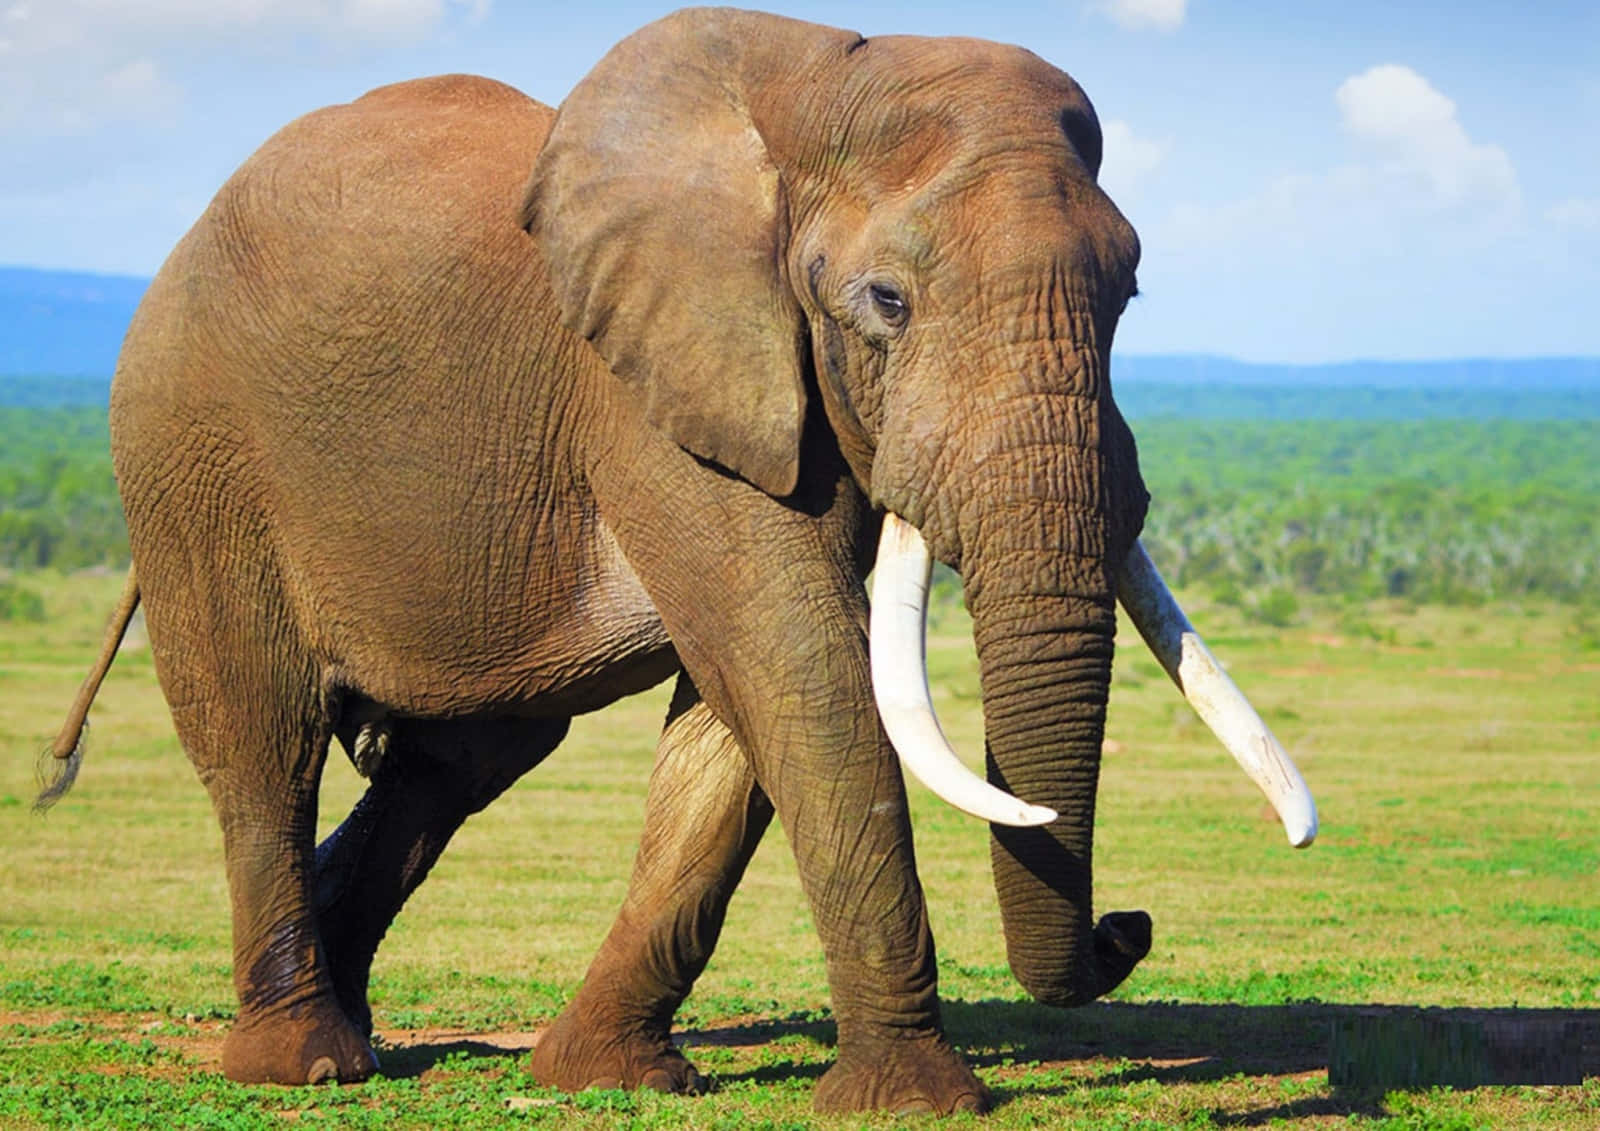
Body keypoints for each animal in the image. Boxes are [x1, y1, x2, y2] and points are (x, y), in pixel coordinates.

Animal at [41, 8, 1316, 1114]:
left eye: (1129, 293)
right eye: (886, 302)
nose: (1127, 930)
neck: (814, 84)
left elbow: (739, 712)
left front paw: (606, 1079)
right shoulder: (653, 383)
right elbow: (794, 661)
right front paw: (912, 1103)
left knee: (460, 758)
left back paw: (355, 1025)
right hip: (190, 454)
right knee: (264, 740)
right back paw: (303, 1063)